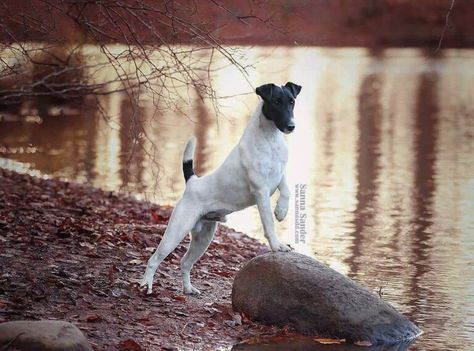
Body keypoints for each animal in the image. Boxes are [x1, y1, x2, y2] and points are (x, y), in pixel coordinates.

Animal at [142, 82, 304, 294]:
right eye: (276, 101)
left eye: (291, 101)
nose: (291, 126)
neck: (270, 139)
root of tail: (193, 182)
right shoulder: (260, 191)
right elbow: (268, 223)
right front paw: (277, 246)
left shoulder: (279, 176)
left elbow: (286, 190)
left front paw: (281, 211)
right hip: (176, 231)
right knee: (154, 259)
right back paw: (146, 285)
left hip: (203, 238)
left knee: (185, 262)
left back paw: (188, 289)